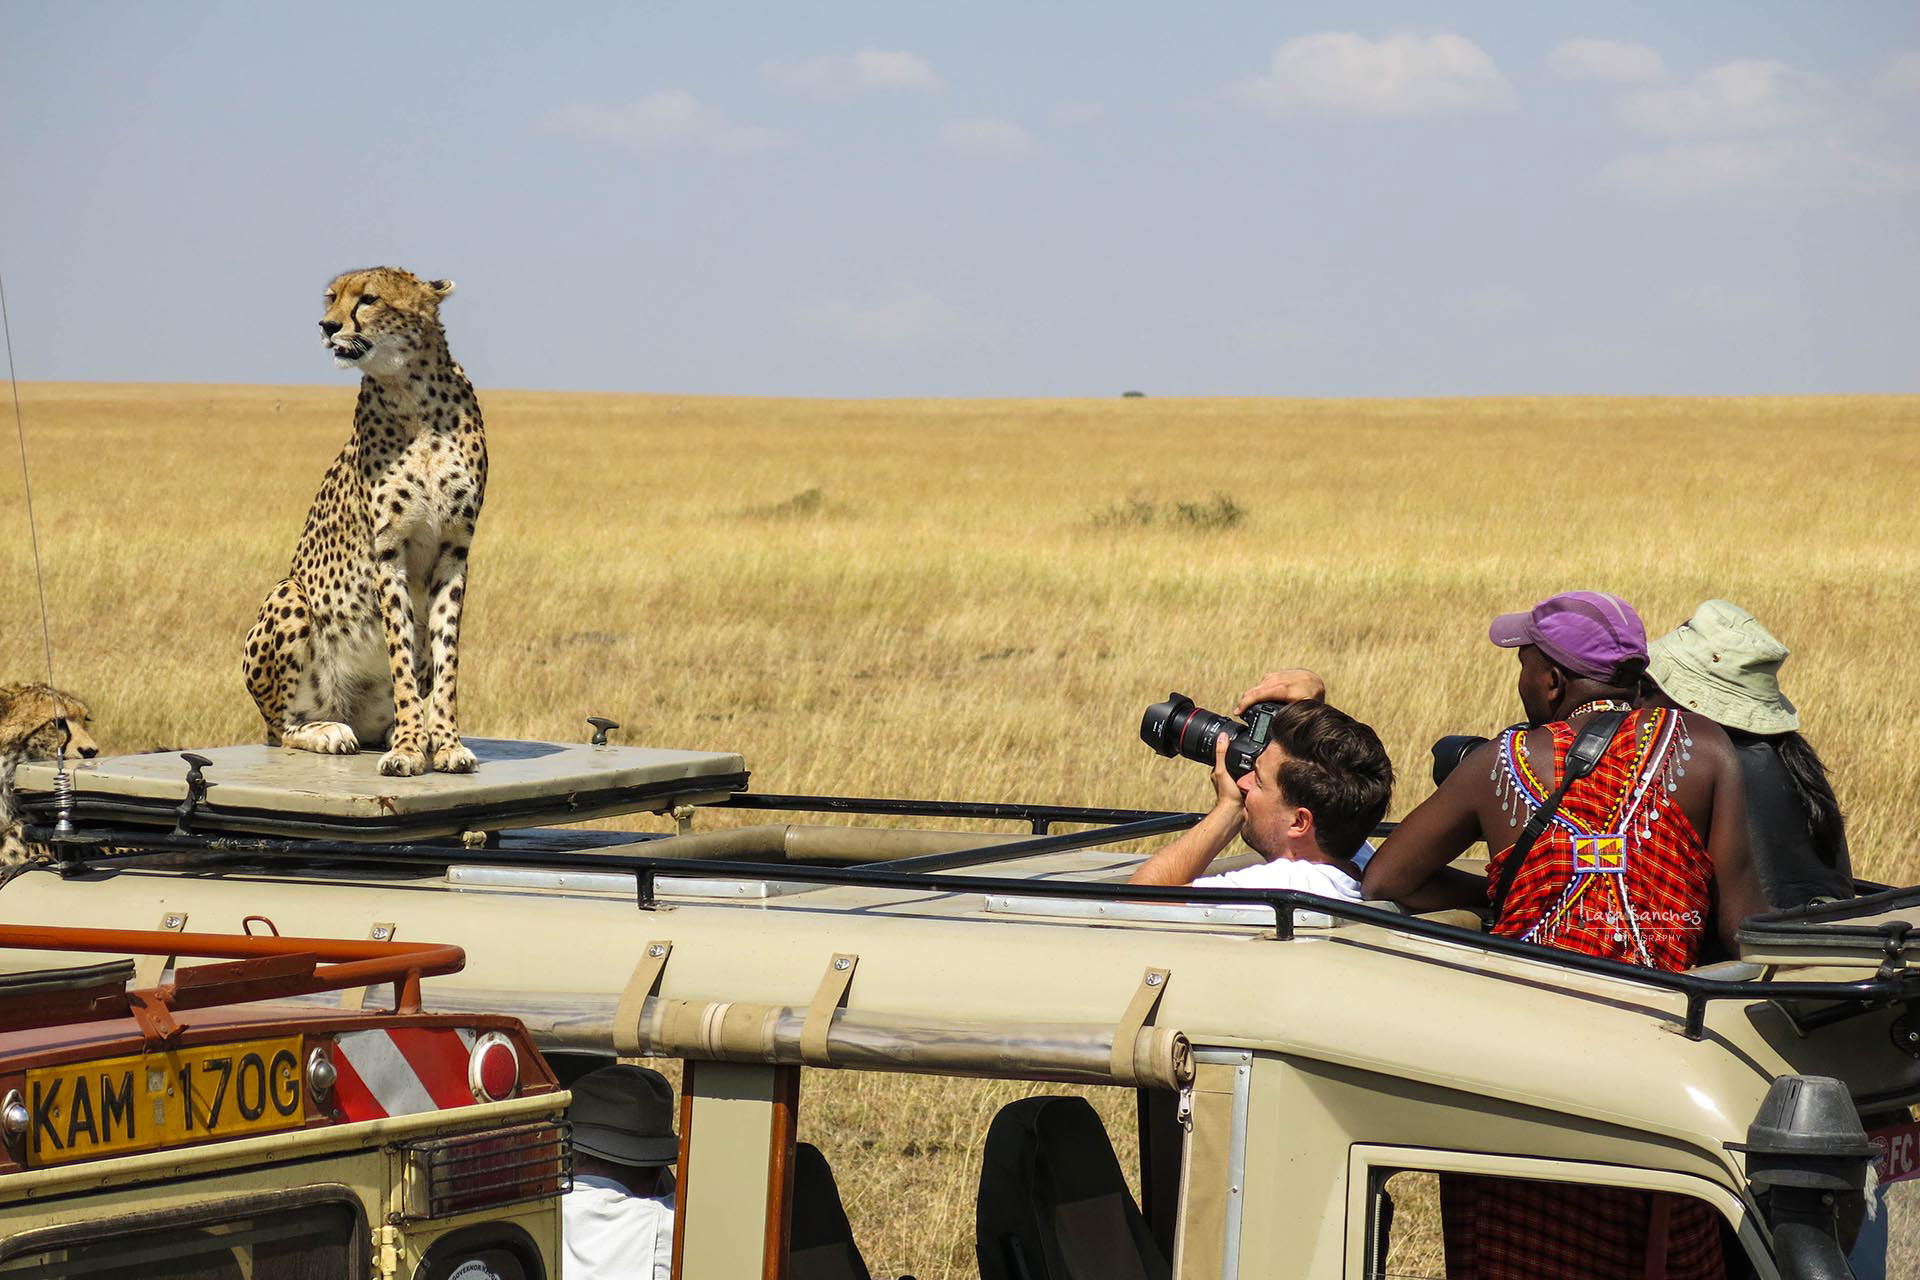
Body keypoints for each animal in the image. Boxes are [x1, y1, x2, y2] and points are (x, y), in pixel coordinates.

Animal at [245, 264, 487, 775]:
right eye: (331, 298)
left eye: (368, 299)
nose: (326, 326)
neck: (413, 392)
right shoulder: (388, 551)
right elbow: (400, 653)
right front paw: (411, 747)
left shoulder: (454, 550)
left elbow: (445, 656)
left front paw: (445, 741)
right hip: (288, 593)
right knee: (282, 727)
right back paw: (329, 731)